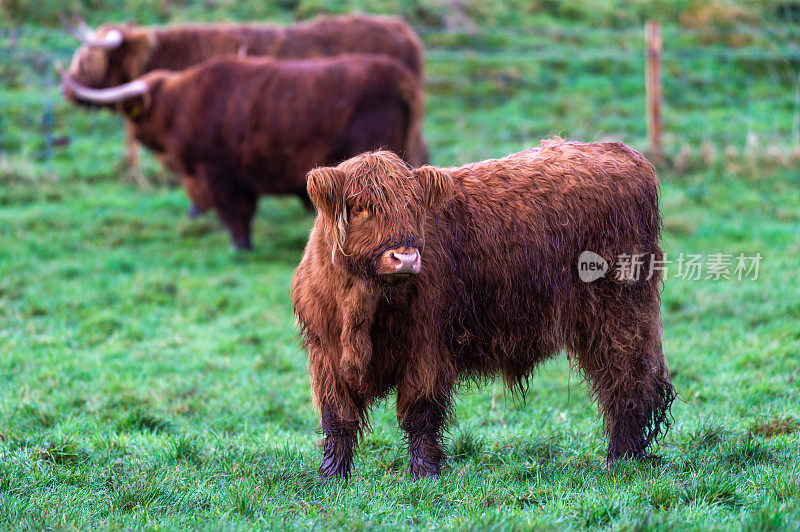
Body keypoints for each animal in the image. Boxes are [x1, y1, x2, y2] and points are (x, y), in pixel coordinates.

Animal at [290, 139, 680, 480]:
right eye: (360, 208)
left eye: (414, 207)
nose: (406, 257)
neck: (361, 308)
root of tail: (619, 151)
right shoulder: (326, 355)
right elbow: (337, 418)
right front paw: (332, 476)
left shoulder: (426, 347)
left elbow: (421, 413)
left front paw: (423, 473)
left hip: (619, 313)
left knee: (627, 380)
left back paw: (621, 458)